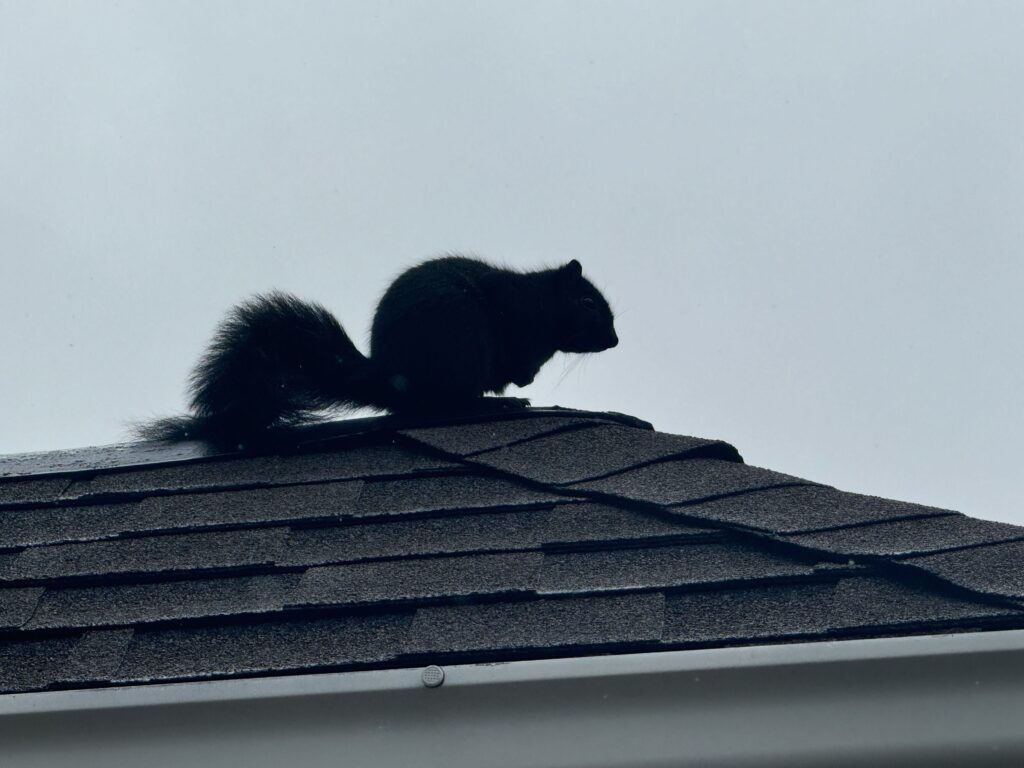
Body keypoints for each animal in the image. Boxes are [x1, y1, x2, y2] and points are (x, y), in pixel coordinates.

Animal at [139, 255, 618, 444]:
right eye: (588, 303)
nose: (614, 341)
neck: (540, 305)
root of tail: (389, 380)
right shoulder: (514, 320)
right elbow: (517, 354)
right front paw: (522, 378)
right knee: (450, 404)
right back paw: (501, 403)